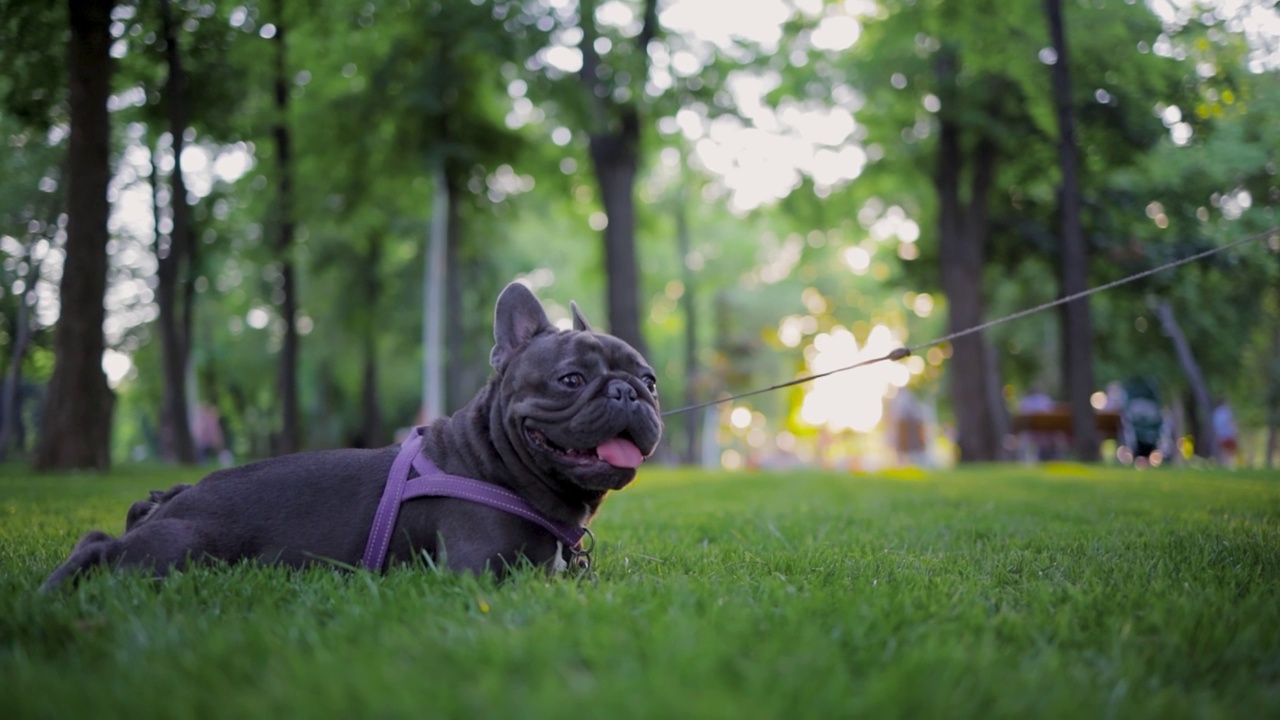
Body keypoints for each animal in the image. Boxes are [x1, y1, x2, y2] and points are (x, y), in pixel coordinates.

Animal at [42, 281, 660, 589]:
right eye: (571, 379)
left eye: (650, 379)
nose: (628, 392)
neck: (494, 464)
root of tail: (174, 497)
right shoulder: (484, 573)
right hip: (182, 551)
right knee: (103, 550)